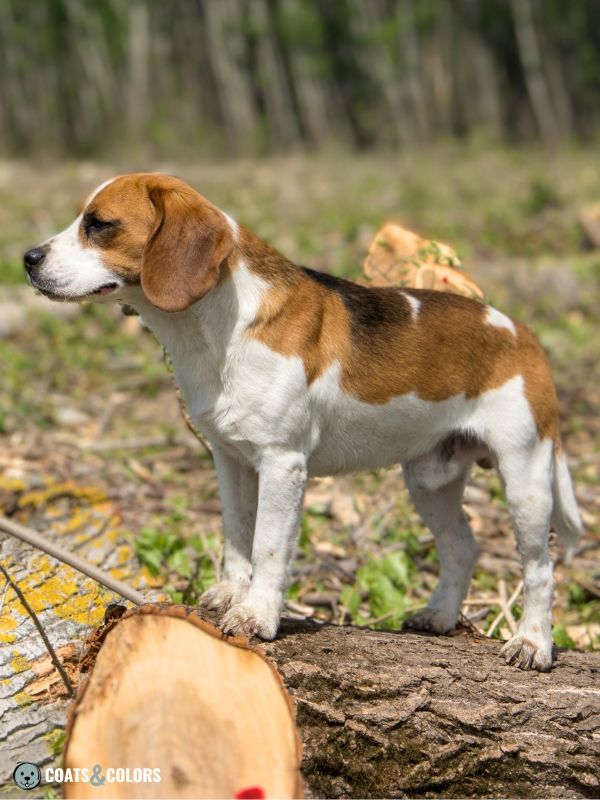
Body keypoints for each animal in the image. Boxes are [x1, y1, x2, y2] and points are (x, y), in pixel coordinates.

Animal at [24, 173, 580, 668]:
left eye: (99, 225)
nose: (28, 259)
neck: (219, 328)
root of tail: (521, 332)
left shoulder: (282, 465)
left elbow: (268, 546)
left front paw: (256, 615)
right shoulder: (230, 461)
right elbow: (237, 535)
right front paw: (232, 593)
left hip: (525, 480)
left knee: (540, 567)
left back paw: (533, 643)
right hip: (430, 481)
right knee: (463, 547)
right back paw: (441, 616)